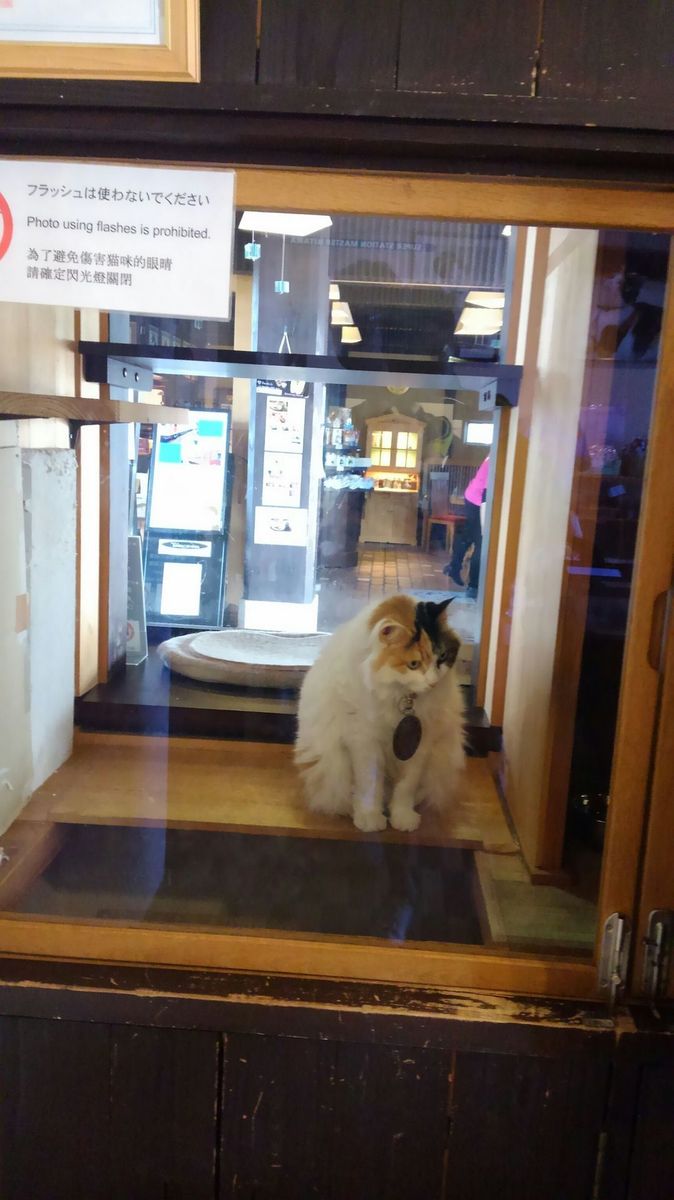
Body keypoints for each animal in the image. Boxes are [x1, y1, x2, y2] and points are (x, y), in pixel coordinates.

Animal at [295, 594, 465, 833]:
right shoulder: (365, 742)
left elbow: (406, 787)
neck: (402, 698)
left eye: (442, 657)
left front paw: (402, 818)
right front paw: (369, 818)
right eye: (413, 664)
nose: (431, 682)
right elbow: (369, 784)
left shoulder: (420, 745)